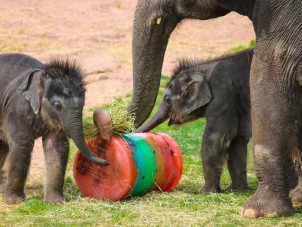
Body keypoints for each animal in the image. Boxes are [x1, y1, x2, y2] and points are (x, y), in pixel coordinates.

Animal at [0, 53, 108, 204]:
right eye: (58, 106)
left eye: (83, 104)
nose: (108, 162)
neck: (41, 75)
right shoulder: (18, 109)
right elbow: (22, 146)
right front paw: (15, 201)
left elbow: (57, 146)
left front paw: (56, 202)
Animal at [138, 49, 254, 193]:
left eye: (167, 99)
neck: (204, 69)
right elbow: (238, 140)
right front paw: (236, 190)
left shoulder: (223, 97)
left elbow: (216, 138)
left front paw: (205, 192)